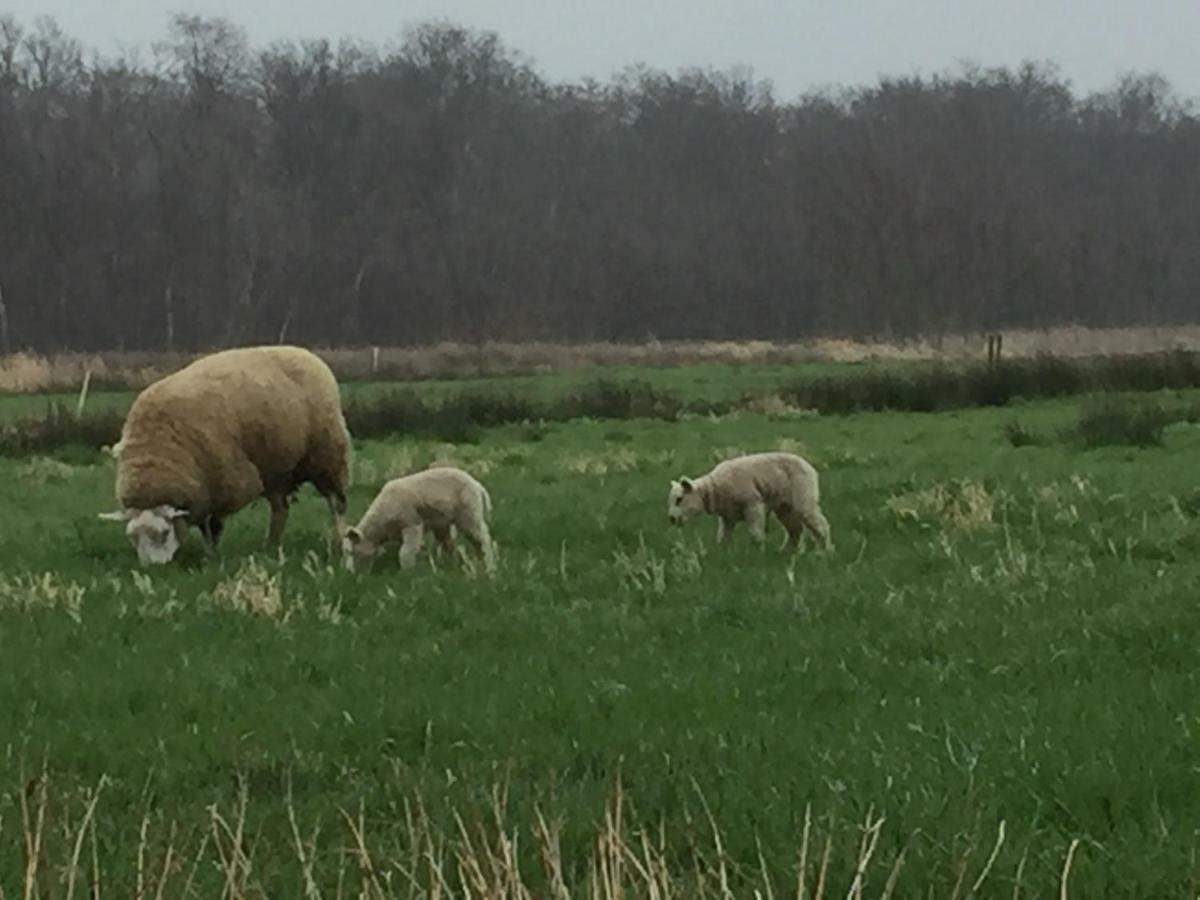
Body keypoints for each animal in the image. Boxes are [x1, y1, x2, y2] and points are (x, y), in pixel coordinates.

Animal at [99, 345, 350, 564]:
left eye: (163, 533)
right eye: (132, 538)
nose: (153, 569)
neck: (155, 454)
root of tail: (303, 352)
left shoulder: (224, 485)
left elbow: (214, 526)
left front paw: (213, 557)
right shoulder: (203, 490)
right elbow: (205, 526)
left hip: (327, 454)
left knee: (336, 503)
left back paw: (340, 541)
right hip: (273, 471)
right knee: (281, 510)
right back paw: (270, 546)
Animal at [343, 465, 492, 571]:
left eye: (351, 552)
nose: (350, 573)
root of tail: (477, 484)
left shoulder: (411, 524)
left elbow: (405, 553)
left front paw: (407, 573)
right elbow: (410, 550)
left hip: (469, 514)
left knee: (482, 540)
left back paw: (489, 566)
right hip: (443, 523)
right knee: (450, 544)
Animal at [667, 451, 835, 549]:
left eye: (679, 499)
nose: (671, 519)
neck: (714, 489)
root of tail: (809, 466)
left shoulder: (753, 504)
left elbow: (755, 533)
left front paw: (758, 552)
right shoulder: (727, 517)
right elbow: (723, 537)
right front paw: (723, 553)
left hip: (803, 497)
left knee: (820, 525)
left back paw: (825, 552)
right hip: (784, 507)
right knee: (795, 529)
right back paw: (787, 552)